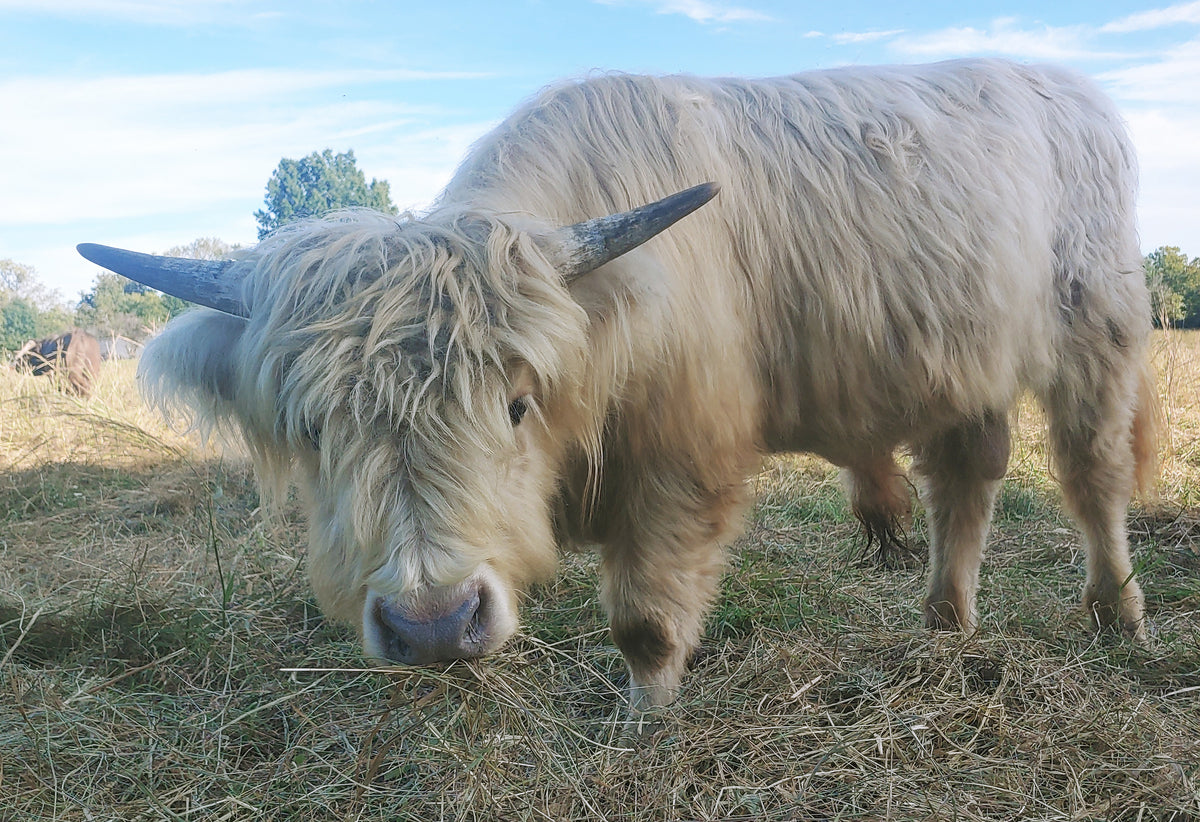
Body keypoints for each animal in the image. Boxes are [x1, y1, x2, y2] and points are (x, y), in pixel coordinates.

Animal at [78, 58, 1156, 712]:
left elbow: (643, 619)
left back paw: (1118, 613)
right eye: (314, 429)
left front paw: (644, 722)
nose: (433, 624)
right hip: (962, 365)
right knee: (965, 482)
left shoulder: (678, 464)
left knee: (1090, 477)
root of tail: (1067, 87)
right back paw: (945, 622)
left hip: (1094, 336)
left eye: (516, 403)